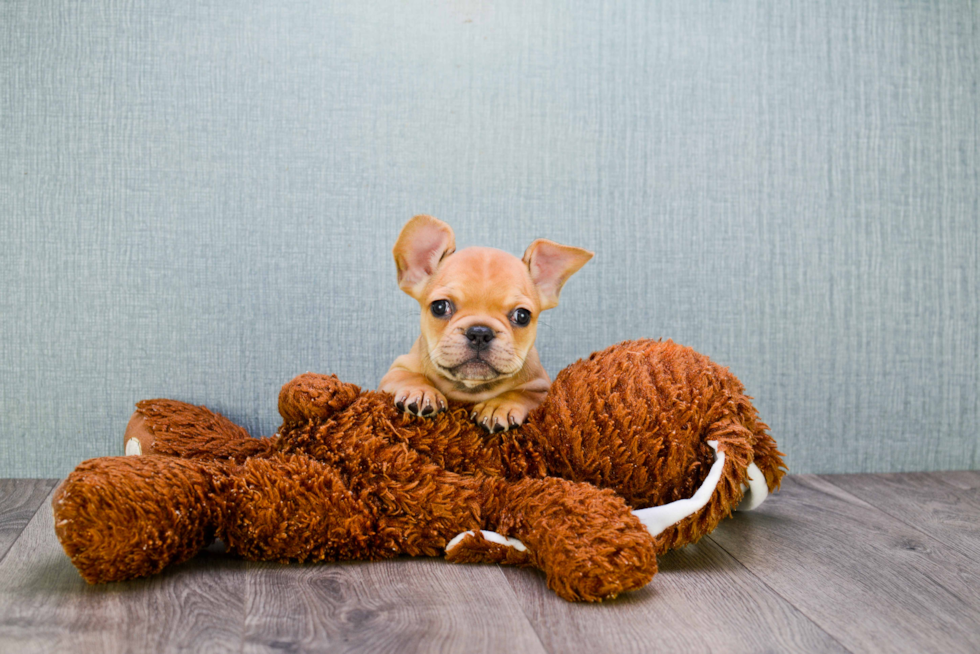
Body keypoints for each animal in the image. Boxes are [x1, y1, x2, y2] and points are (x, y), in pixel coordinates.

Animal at [378, 217, 588, 436]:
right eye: (439, 306)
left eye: (522, 316)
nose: (480, 333)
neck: (470, 388)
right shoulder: (395, 370)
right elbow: (410, 376)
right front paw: (421, 391)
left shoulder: (542, 387)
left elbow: (520, 394)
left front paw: (498, 406)